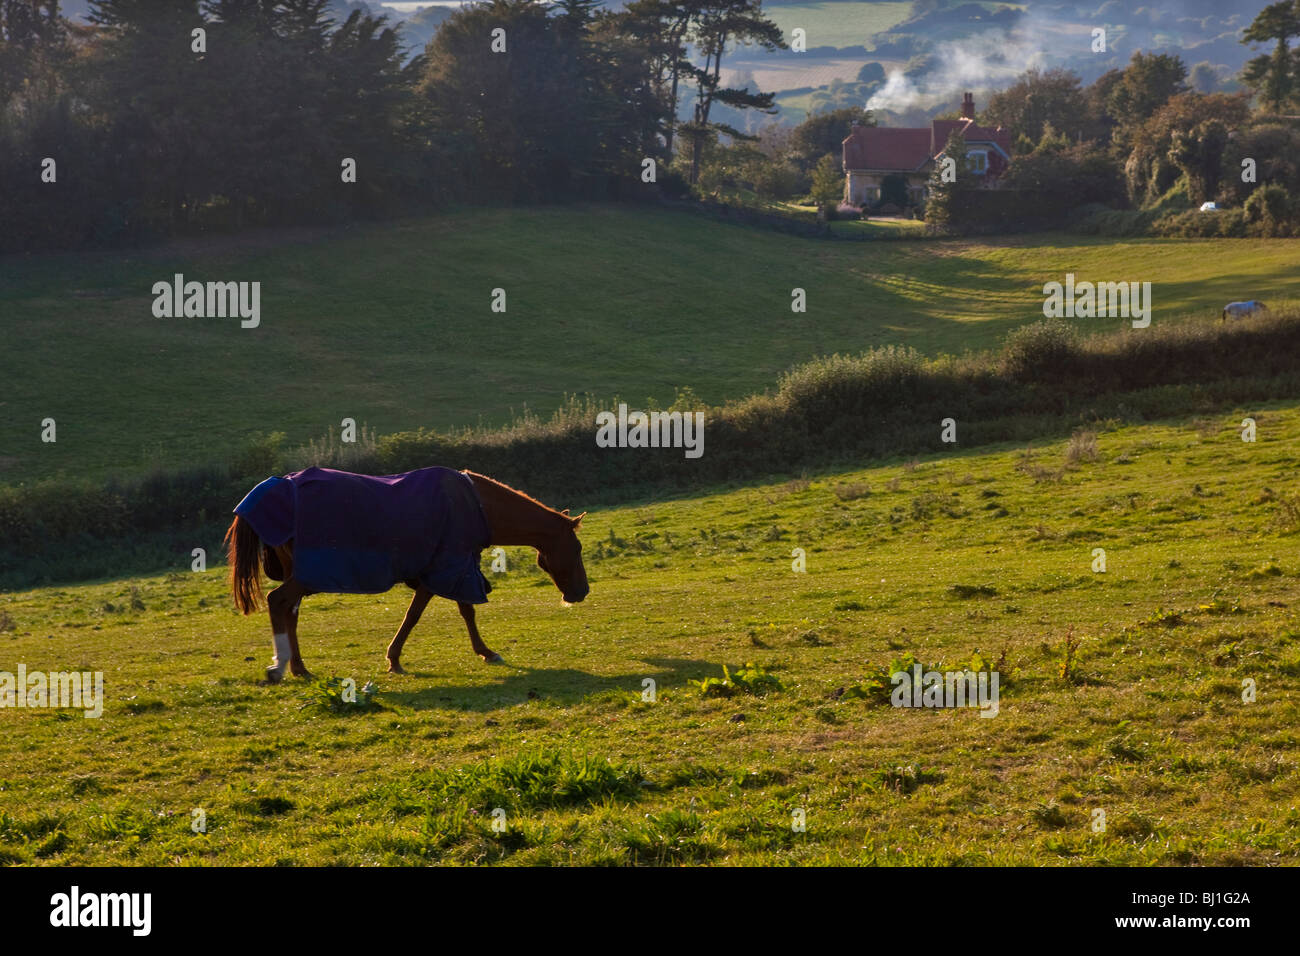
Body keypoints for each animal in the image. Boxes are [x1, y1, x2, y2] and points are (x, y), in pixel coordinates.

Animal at [223, 467, 587, 683]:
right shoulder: (445, 569)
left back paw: (299, 667)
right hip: (304, 576)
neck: (476, 505)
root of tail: (280, 488)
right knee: (277, 601)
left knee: (290, 612)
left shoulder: (446, 570)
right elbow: (422, 615)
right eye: (577, 548)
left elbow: (459, 610)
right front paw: (396, 658)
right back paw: (280, 666)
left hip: (299, 575)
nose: (581, 592)